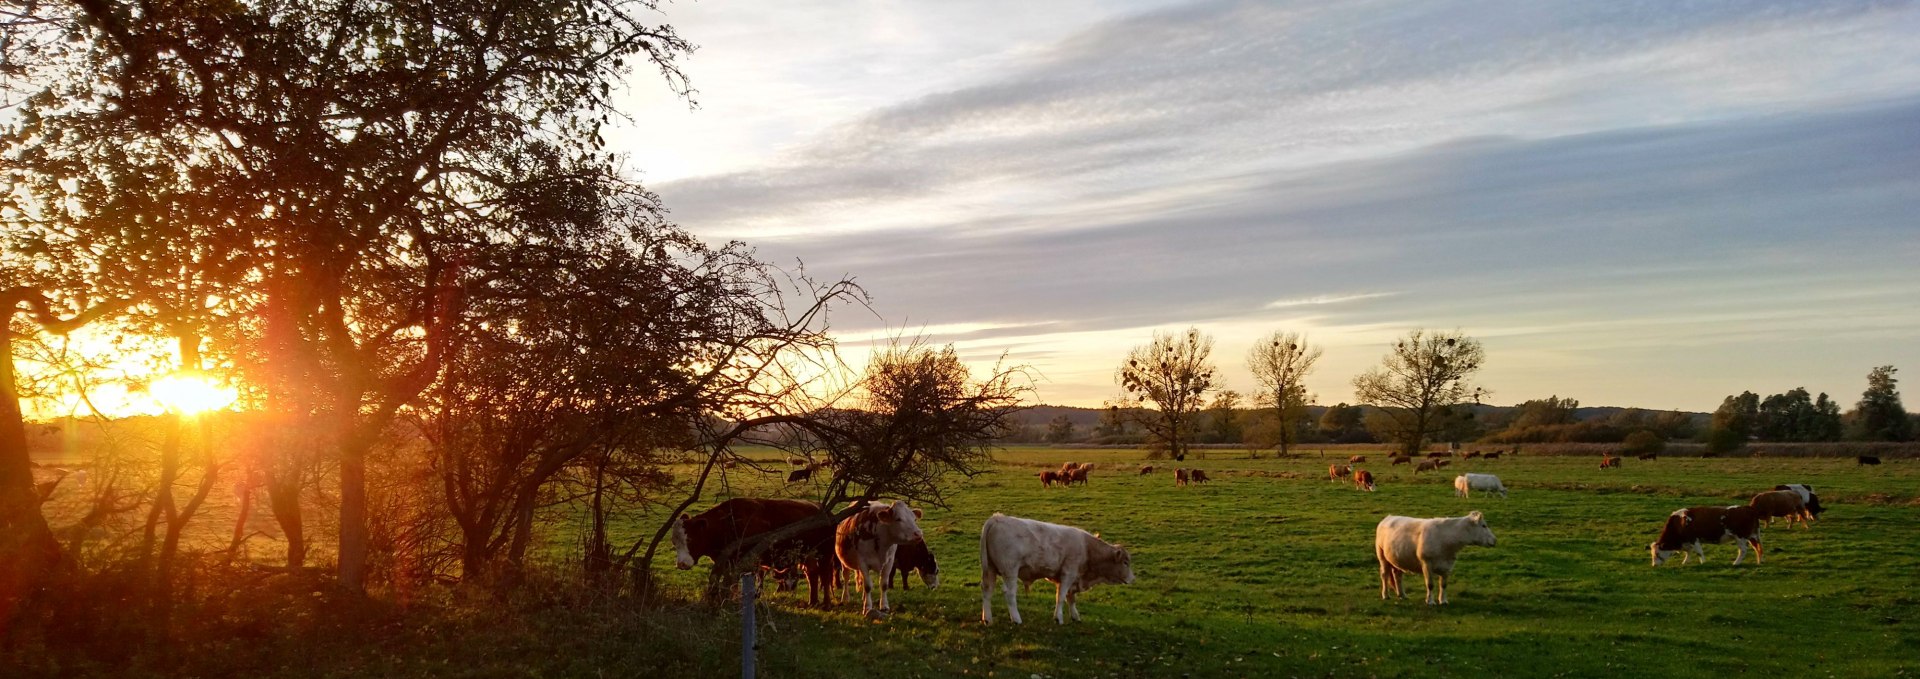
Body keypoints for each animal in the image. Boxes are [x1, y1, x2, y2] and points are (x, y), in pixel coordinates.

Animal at [983, 510, 1128, 621]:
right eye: (1126, 562)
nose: (1131, 578)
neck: (1086, 547)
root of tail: (997, 518)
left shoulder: (1071, 579)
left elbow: (1070, 598)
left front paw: (1075, 616)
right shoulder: (1068, 574)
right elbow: (1061, 596)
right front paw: (1058, 618)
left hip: (990, 569)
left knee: (987, 590)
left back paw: (987, 619)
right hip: (1010, 571)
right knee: (1009, 593)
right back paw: (1016, 619)